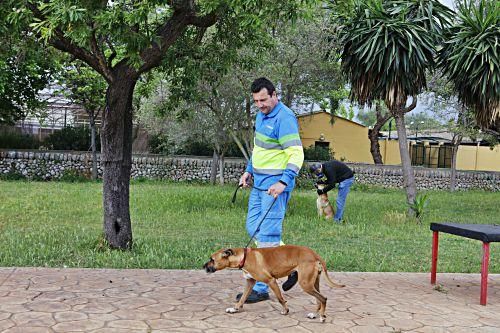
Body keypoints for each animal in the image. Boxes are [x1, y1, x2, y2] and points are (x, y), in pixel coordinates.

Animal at [202, 244, 344, 322]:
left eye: (212, 259)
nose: (203, 266)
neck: (244, 257)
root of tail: (314, 254)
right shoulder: (250, 282)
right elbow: (242, 298)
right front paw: (235, 309)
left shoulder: (271, 281)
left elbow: (280, 299)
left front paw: (285, 311)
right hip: (313, 283)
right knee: (319, 300)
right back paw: (315, 314)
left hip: (306, 284)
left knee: (323, 298)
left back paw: (322, 317)